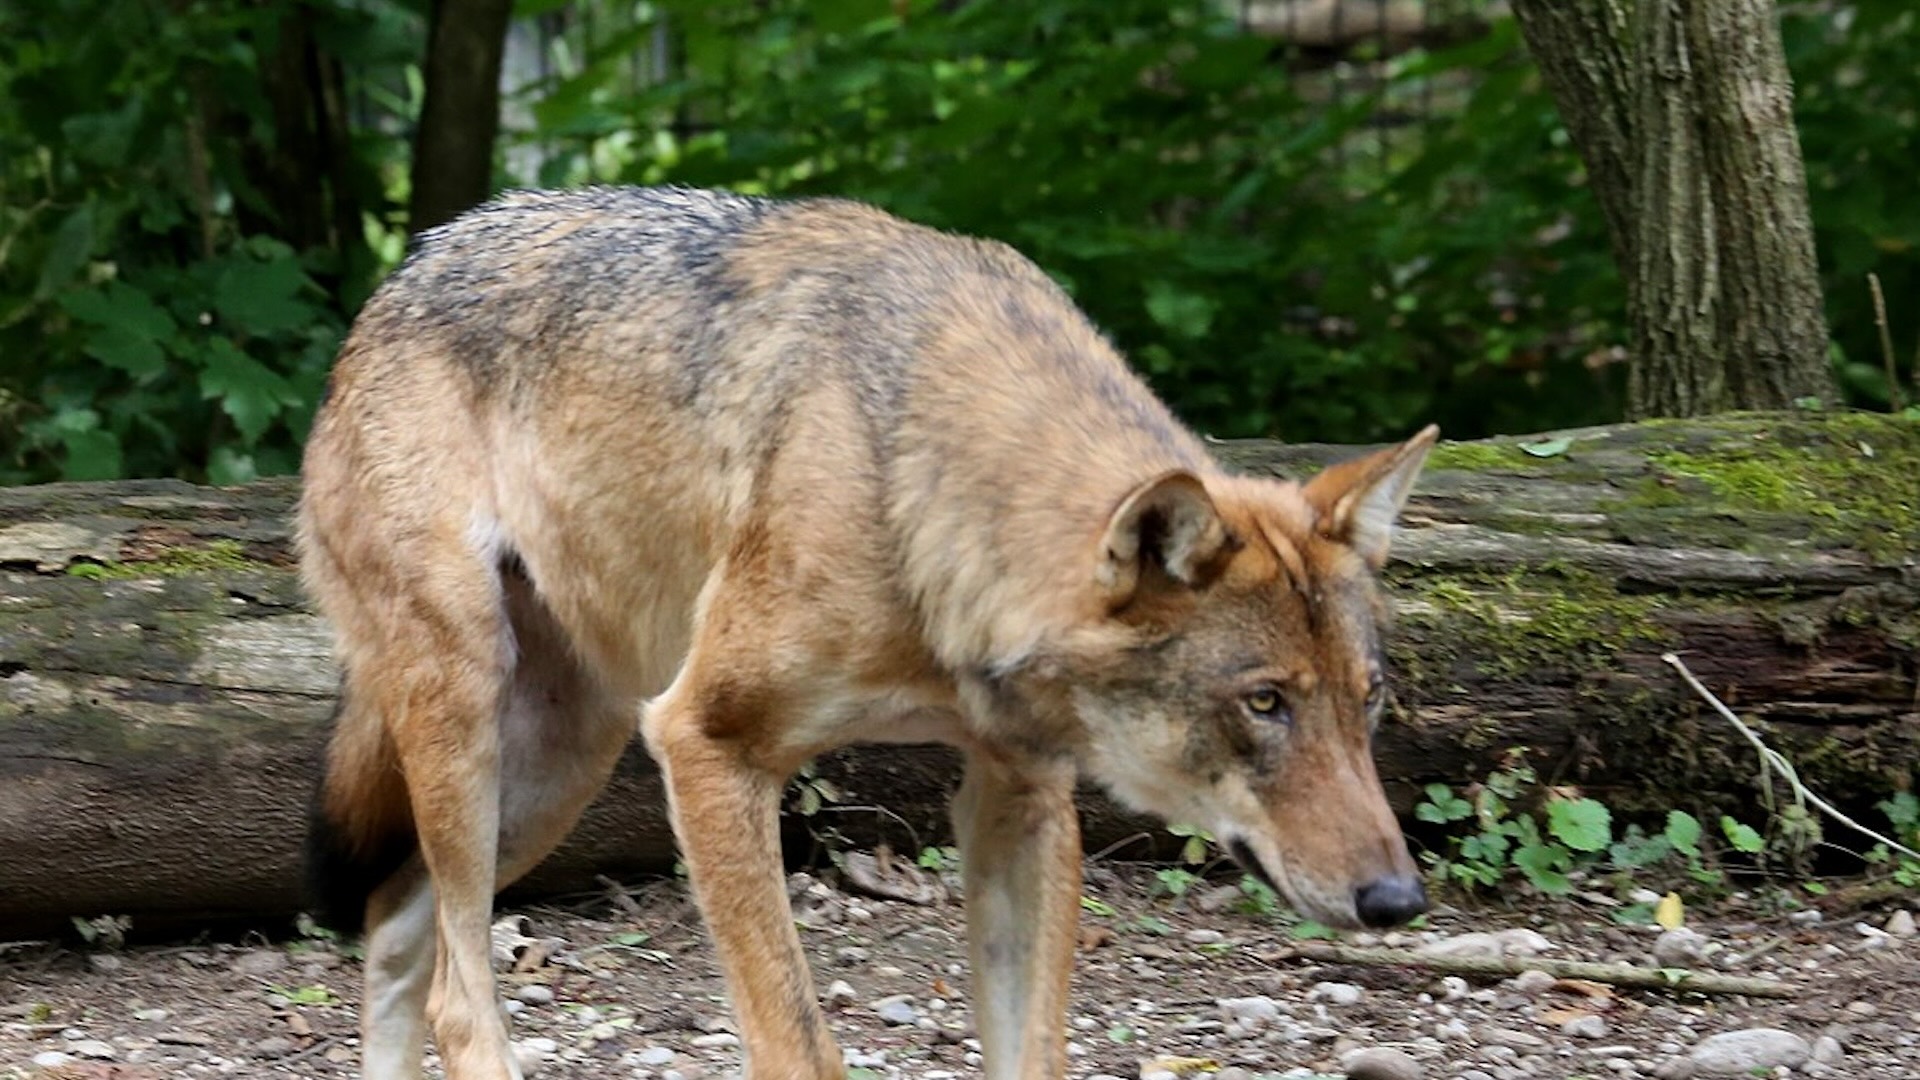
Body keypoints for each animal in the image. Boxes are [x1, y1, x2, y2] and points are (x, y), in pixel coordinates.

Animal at [299, 187, 1436, 1076]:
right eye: (1265, 702)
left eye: (1369, 701)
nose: (1398, 901)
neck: (914, 485)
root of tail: (401, 275)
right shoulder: (706, 745)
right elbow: (797, 1043)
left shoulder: (1022, 793)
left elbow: (1036, 1049)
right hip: (482, 721)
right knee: (456, 997)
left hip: (556, 773)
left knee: (395, 928)